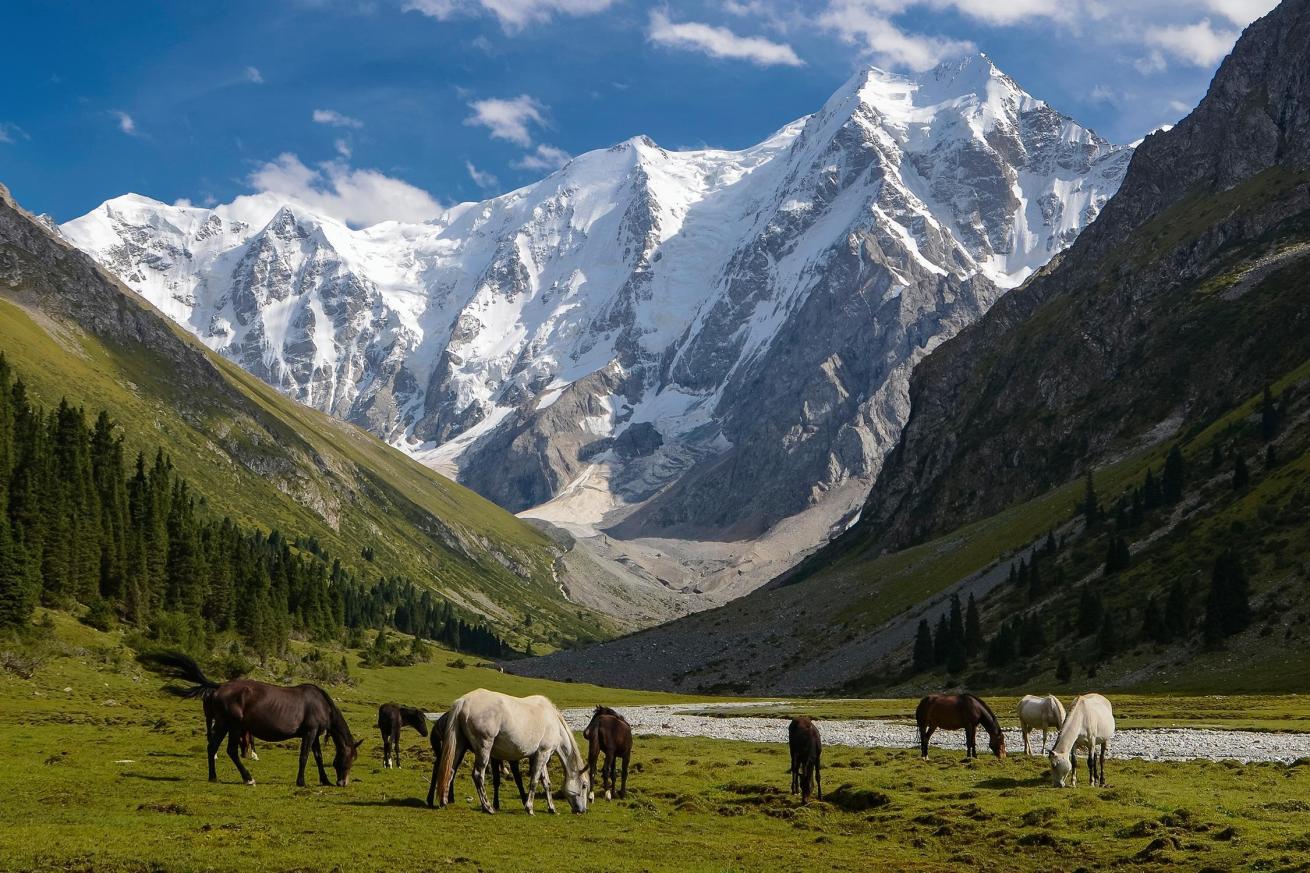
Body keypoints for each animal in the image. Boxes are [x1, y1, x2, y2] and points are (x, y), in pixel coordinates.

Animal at [137, 650, 361, 786]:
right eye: (350, 757)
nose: (343, 782)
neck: (321, 703)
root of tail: (218, 687)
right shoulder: (310, 732)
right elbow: (305, 756)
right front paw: (301, 782)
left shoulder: (313, 734)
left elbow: (318, 756)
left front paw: (325, 780)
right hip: (234, 726)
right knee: (230, 751)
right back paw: (248, 778)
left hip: (223, 725)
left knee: (212, 747)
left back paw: (213, 777)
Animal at [434, 686, 589, 817]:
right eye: (584, 786)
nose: (582, 810)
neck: (554, 722)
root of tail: (463, 702)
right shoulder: (542, 754)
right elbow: (534, 781)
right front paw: (529, 808)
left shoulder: (541, 755)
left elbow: (546, 783)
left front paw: (552, 808)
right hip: (484, 747)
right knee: (478, 775)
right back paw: (488, 807)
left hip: (459, 746)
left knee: (450, 770)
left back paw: (444, 801)